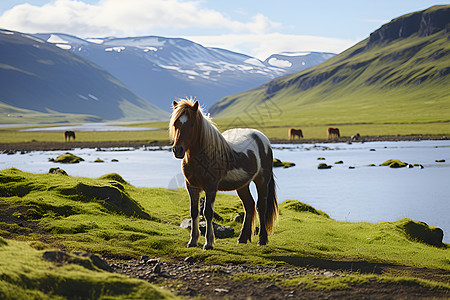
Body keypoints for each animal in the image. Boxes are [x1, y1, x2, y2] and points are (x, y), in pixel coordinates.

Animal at [170, 99, 278, 250]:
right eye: (176, 124)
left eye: (191, 124)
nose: (178, 150)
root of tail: (263, 139)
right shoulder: (191, 186)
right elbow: (194, 212)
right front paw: (192, 241)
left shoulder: (211, 187)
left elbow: (207, 212)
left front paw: (208, 243)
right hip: (242, 186)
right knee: (249, 206)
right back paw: (242, 238)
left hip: (261, 180)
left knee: (261, 206)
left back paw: (262, 239)